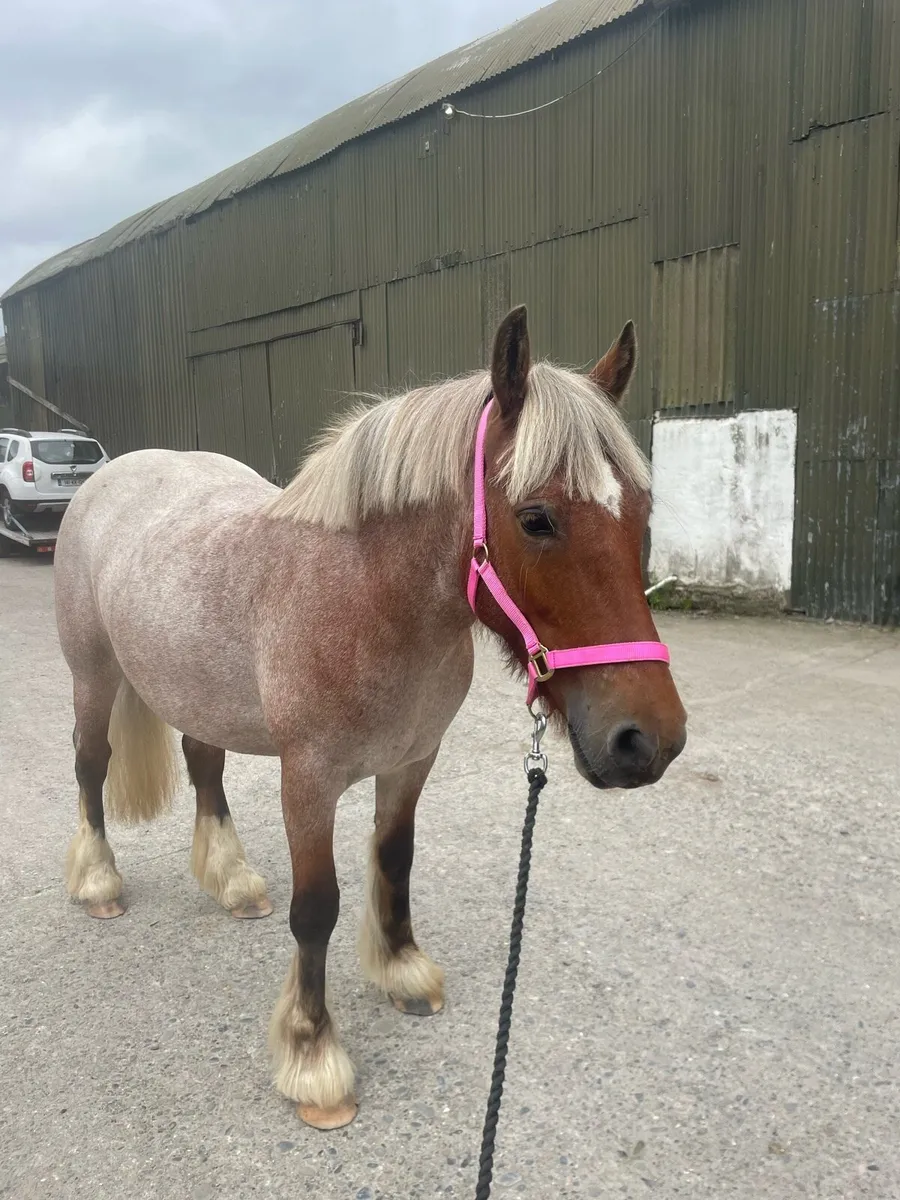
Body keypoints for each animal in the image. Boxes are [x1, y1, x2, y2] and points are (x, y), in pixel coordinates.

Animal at [55, 306, 687, 1130]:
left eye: (641, 513)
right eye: (536, 518)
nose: (648, 741)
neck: (365, 598)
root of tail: (108, 474)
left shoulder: (412, 761)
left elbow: (394, 861)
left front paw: (403, 971)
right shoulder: (308, 781)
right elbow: (317, 908)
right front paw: (314, 1057)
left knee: (204, 763)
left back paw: (233, 880)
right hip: (93, 676)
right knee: (90, 765)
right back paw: (99, 881)